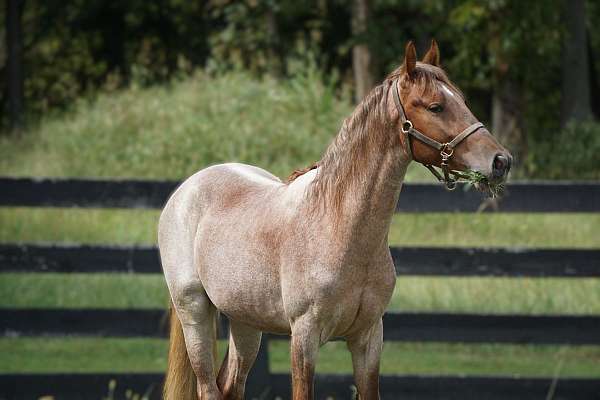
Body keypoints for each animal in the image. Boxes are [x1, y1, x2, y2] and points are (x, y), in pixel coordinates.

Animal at [158, 40, 510, 400]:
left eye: (462, 100)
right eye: (435, 106)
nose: (501, 161)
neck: (338, 227)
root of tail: (186, 189)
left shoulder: (368, 338)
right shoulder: (304, 337)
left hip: (245, 320)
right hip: (194, 312)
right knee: (208, 386)